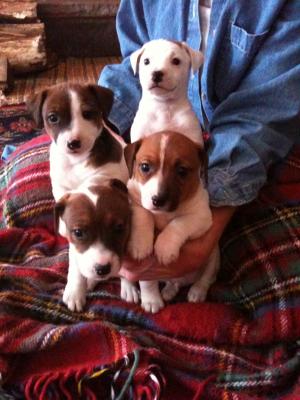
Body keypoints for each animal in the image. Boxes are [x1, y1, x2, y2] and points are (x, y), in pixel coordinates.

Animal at [54, 179, 134, 312]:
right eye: (78, 232)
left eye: (119, 227)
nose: (102, 269)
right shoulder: (74, 247)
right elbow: (76, 267)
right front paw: (75, 293)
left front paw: (129, 286)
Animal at [123, 133, 219, 314]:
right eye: (145, 167)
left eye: (182, 171)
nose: (158, 200)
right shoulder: (134, 202)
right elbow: (143, 214)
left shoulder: (202, 217)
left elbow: (179, 223)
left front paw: (165, 247)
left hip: (213, 256)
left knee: (207, 277)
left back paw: (197, 291)